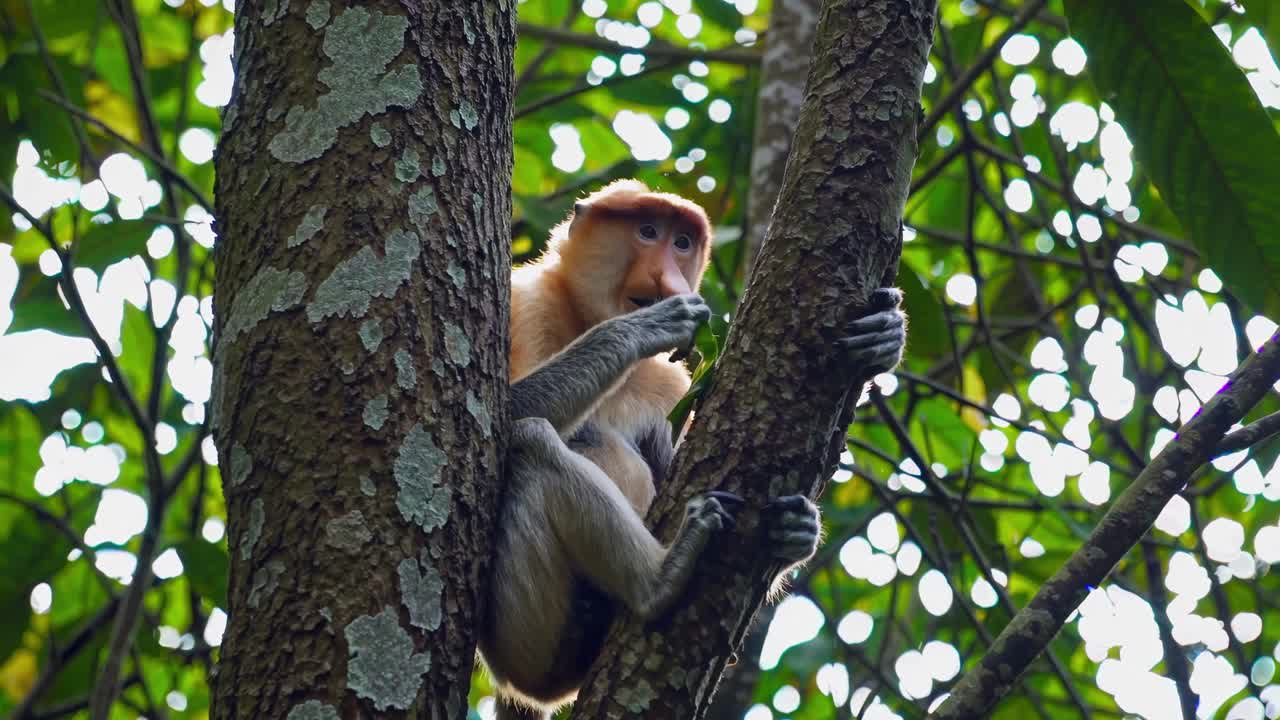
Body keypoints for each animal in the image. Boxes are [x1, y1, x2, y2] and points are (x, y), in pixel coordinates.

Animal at [478, 180, 907, 720]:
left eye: (681, 243)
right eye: (647, 231)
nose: (667, 275)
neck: (580, 315)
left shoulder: (670, 384)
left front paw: (885, 334)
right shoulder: (527, 303)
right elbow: (504, 415)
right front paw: (649, 327)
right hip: (526, 640)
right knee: (531, 441)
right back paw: (658, 584)